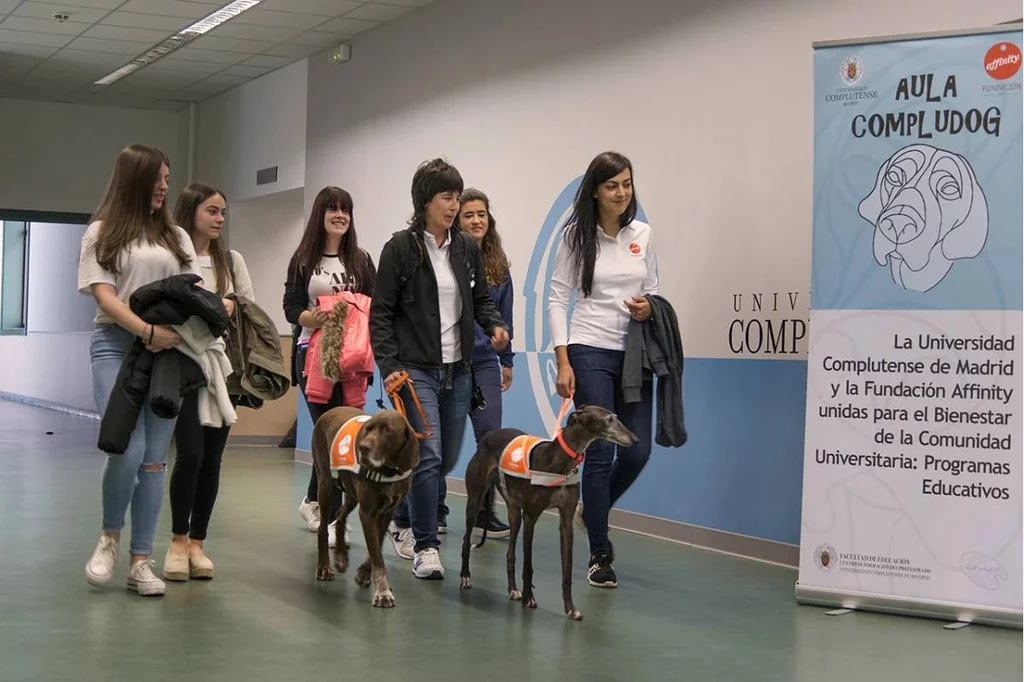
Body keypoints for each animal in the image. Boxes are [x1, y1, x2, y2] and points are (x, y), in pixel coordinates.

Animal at [309, 403, 417, 606]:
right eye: (368, 429)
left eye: (388, 430)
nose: (363, 448)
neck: (388, 470)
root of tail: (329, 412)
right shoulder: (368, 512)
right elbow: (376, 553)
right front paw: (383, 592)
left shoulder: (387, 511)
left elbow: (378, 544)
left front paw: (364, 574)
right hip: (326, 485)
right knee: (322, 529)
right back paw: (324, 567)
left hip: (351, 492)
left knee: (341, 516)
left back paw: (341, 557)